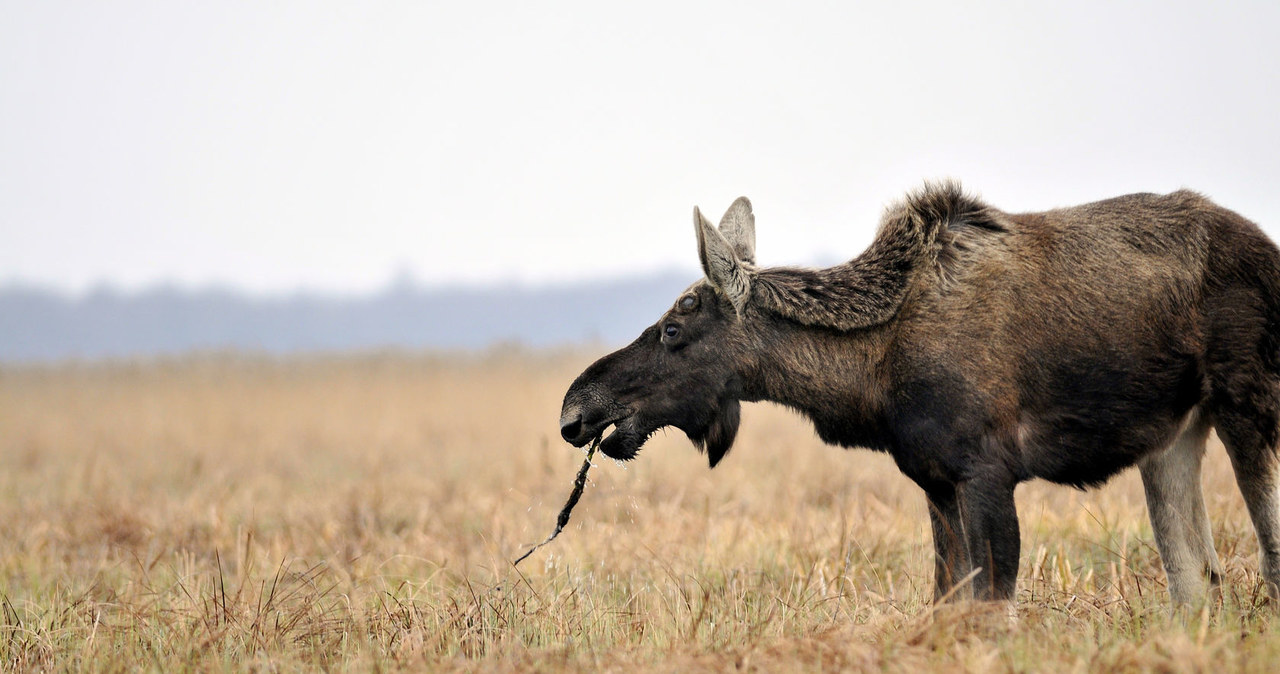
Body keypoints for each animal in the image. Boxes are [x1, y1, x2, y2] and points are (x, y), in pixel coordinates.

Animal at [560, 184, 1280, 606]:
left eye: (674, 329)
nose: (576, 409)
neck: (869, 378)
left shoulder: (987, 471)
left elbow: (989, 608)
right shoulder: (936, 481)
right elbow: (946, 604)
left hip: (1249, 403)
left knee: (1267, 556)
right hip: (1174, 435)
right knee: (1197, 582)